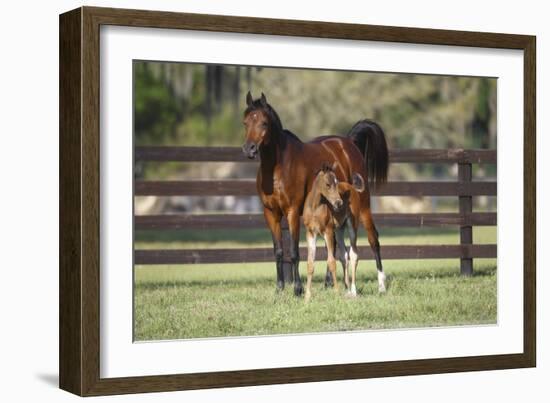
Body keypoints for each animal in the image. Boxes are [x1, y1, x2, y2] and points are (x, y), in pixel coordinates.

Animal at [244, 92, 390, 296]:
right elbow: (279, 251)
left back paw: (381, 285)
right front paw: (279, 288)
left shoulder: (292, 212)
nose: (249, 148)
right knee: (335, 246)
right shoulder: (270, 213)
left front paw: (297, 289)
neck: (278, 167)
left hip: (363, 206)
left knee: (373, 239)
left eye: (264, 123)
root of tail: (348, 143)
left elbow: (294, 251)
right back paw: (332, 283)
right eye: (245, 122)